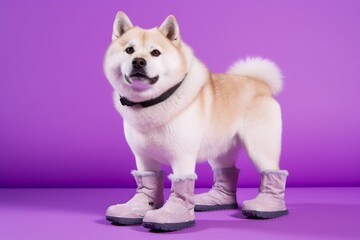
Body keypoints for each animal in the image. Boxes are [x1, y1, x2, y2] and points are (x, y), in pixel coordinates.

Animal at [102, 11, 288, 232]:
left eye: (155, 53)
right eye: (129, 50)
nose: (138, 61)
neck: (150, 103)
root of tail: (259, 84)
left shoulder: (182, 156)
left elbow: (182, 183)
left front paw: (172, 216)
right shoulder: (144, 158)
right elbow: (148, 182)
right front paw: (137, 208)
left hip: (260, 148)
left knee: (272, 171)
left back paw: (267, 206)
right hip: (221, 150)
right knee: (226, 173)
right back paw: (216, 200)